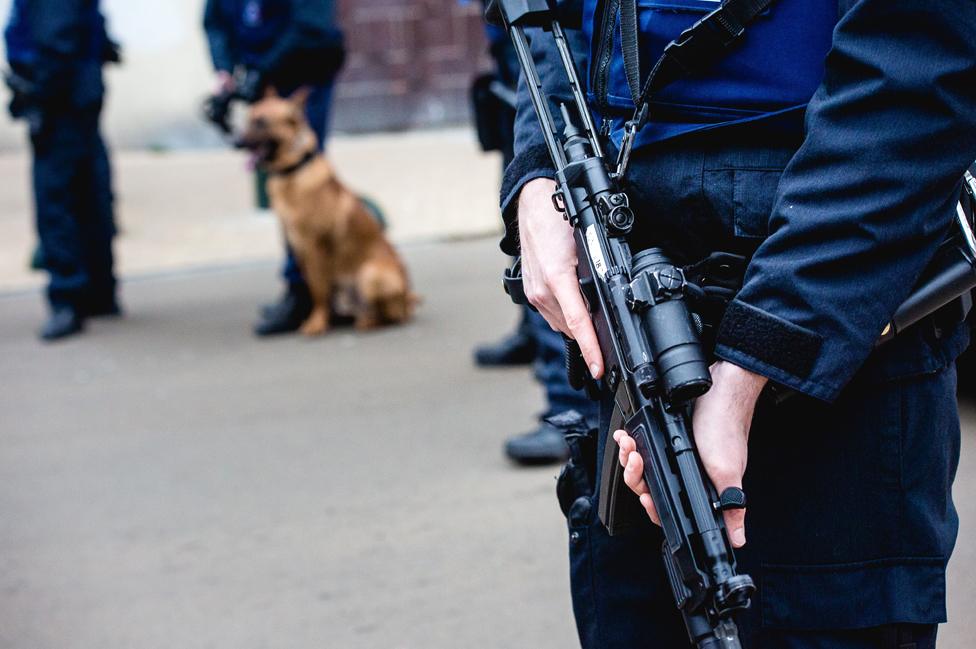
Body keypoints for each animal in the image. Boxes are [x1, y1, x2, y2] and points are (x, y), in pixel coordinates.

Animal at [239, 88, 416, 334]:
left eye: (262, 122)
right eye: (248, 120)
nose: (235, 142)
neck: (295, 170)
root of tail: (409, 298)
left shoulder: (314, 246)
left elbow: (318, 290)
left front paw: (317, 323)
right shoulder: (298, 248)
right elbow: (314, 288)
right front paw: (322, 319)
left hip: (371, 274)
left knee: (390, 317)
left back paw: (367, 322)